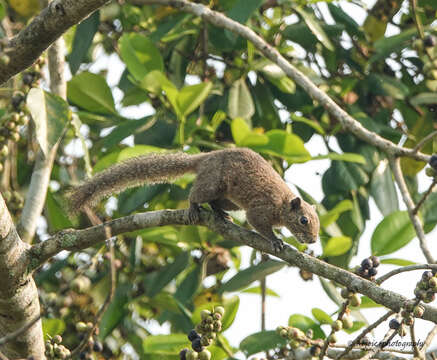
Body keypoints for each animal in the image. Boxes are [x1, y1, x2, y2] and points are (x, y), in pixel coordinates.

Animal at [69, 148, 320, 252]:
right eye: (304, 220)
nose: (313, 240)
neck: (283, 205)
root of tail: (205, 157)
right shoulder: (262, 209)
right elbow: (257, 222)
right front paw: (276, 240)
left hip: (230, 198)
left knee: (217, 203)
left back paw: (220, 214)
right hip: (212, 184)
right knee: (197, 195)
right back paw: (192, 208)